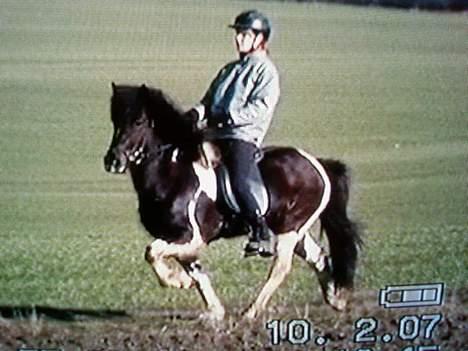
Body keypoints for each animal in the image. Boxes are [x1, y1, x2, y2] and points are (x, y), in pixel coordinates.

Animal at [103, 84, 362, 322]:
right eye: (114, 120)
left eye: (139, 121)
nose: (112, 161)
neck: (173, 173)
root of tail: (316, 163)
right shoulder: (178, 240)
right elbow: (195, 272)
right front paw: (213, 310)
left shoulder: (192, 236)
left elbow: (152, 252)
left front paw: (179, 281)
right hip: (294, 230)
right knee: (318, 257)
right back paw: (336, 299)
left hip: (290, 230)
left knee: (281, 268)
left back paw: (251, 312)